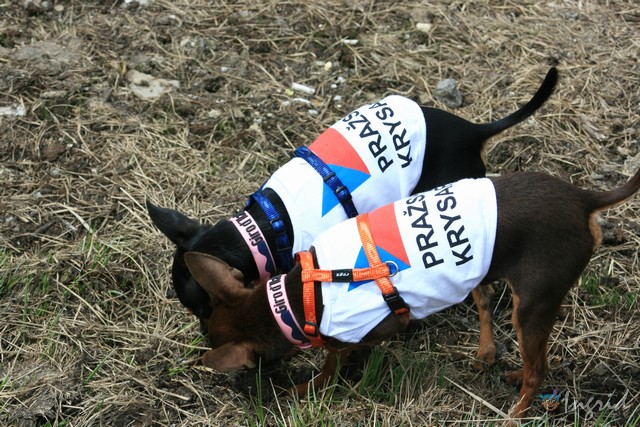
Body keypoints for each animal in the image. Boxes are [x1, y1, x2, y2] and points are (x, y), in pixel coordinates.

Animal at [182, 166, 640, 418]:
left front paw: (309, 388)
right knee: (513, 333)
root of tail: (584, 199)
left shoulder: (362, 331)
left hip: (532, 303)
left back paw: (514, 412)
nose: (241, 386)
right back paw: (499, 364)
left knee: (538, 369)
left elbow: (333, 358)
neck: (299, 297)